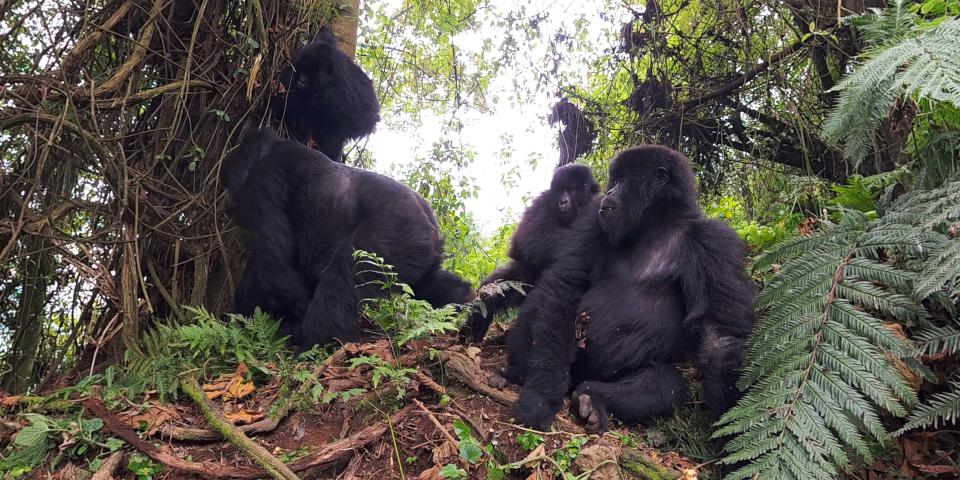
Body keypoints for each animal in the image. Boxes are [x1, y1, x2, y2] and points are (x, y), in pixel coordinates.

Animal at [218, 127, 472, 346]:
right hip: (420, 246)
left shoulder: (263, 181)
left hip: (398, 229)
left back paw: (321, 342)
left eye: (228, 182)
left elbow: (275, 265)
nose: (226, 201)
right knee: (429, 283)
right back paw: (461, 303)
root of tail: (429, 217)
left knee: (343, 278)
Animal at [460, 163, 600, 344]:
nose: (563, 201)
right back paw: (470, 333)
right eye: (560, 190)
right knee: (490, 291)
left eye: (572, 189)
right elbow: (527, 240)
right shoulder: (543, 202)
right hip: (520, 283)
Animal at [502, 145, 756, 432]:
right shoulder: (593, 218)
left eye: (622, 181)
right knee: (542, 304)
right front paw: (542, 397)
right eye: (615, 181)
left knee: (665, 383)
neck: (655, 226)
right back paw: (517, 373)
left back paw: (593, 397)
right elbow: (566, 285)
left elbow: (719, 334)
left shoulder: (714, 242)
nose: (609, 193)